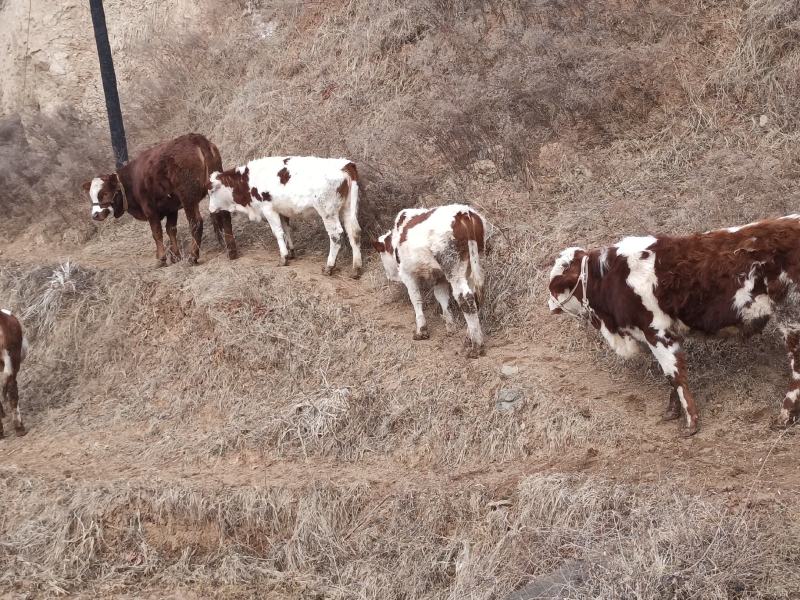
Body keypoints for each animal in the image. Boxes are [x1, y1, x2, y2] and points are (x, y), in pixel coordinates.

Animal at [82, 136, 238, 268]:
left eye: (104, 194)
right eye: (91, 196)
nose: (95, 215)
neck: (132, 180)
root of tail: (196, 139)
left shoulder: (150, 209)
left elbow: (157, 233)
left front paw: (161, 259)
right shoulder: (171, 208)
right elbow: (171, 230)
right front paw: (175, 257)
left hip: (188, 197)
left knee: (196, 223)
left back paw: (192, 257)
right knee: (224, 214)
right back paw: (231, 250)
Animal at [209, 155, 366, 276]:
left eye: (211, 191)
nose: (210, 210)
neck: (248, 180)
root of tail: (345, 164)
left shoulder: (268, 209)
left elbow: (278, 233)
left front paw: (283, 257)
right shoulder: (282, 211)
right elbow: (286, 230)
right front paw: (291, 252)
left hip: (327, 212)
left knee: (336, 235)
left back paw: (329, 266)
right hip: (347, 209)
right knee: (354, 232)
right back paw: (356, 268)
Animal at [370, 204, 488, 358]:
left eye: (381, 253)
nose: (388, 275)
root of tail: (464, 212)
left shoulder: (408, 275)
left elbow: (416, 299)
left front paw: (421, 330)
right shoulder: (439, 277)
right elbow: (442, 298)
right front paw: (450, 327)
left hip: (453, 268)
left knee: (465, 297)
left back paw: (476, 346)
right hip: (473, 265)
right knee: (475, 297)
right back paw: (469, 338)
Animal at [548, 214, 800, 436]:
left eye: (554, 284)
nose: (549, 304)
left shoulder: (656, 331)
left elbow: (675, 374)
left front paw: (690, 423)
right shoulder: (667, 334)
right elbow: (670, 373)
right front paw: (672, 411)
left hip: (791, 317)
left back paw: (784, 417)